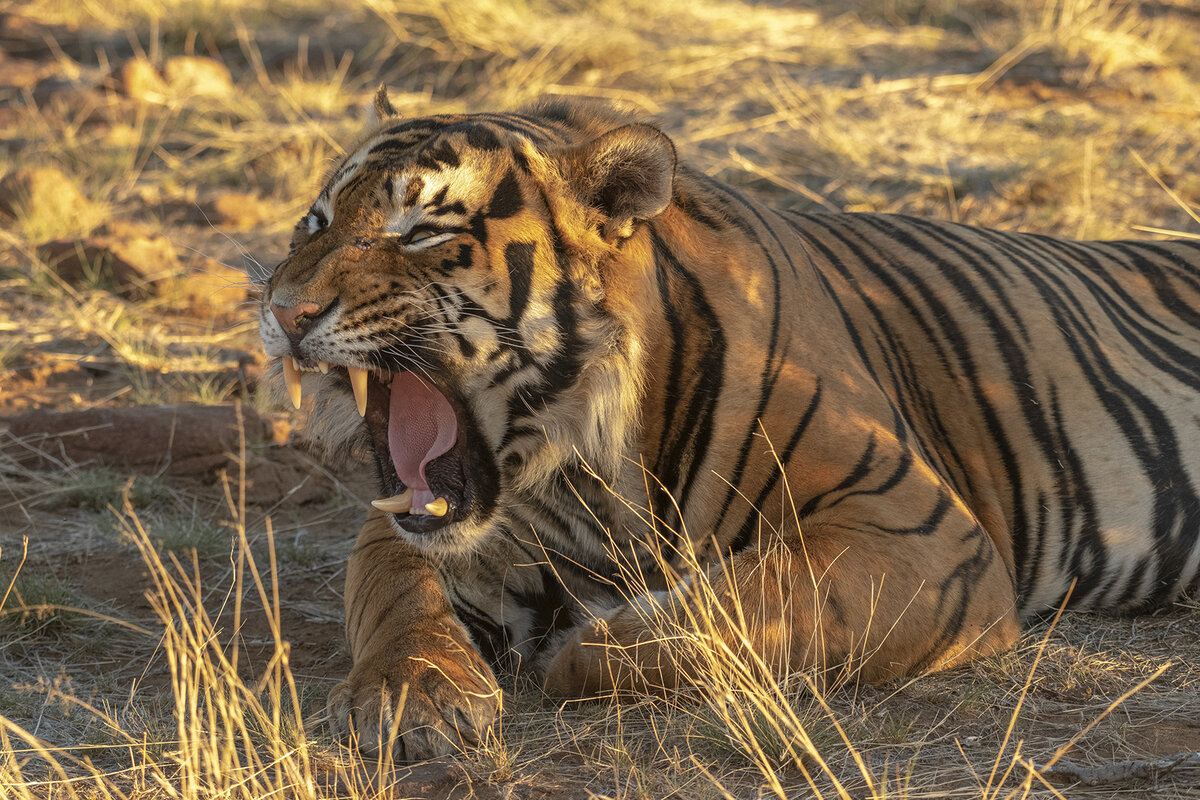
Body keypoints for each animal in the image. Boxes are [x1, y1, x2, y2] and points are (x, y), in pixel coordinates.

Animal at [258, 89, 1200, 762]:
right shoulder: (434, 527)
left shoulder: (918, 534)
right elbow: (394, 584)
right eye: (314, 222)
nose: (284, 311)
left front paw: (581, 648)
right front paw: (407, 696)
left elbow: (741, 607)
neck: (590, 463)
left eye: (419, 229)